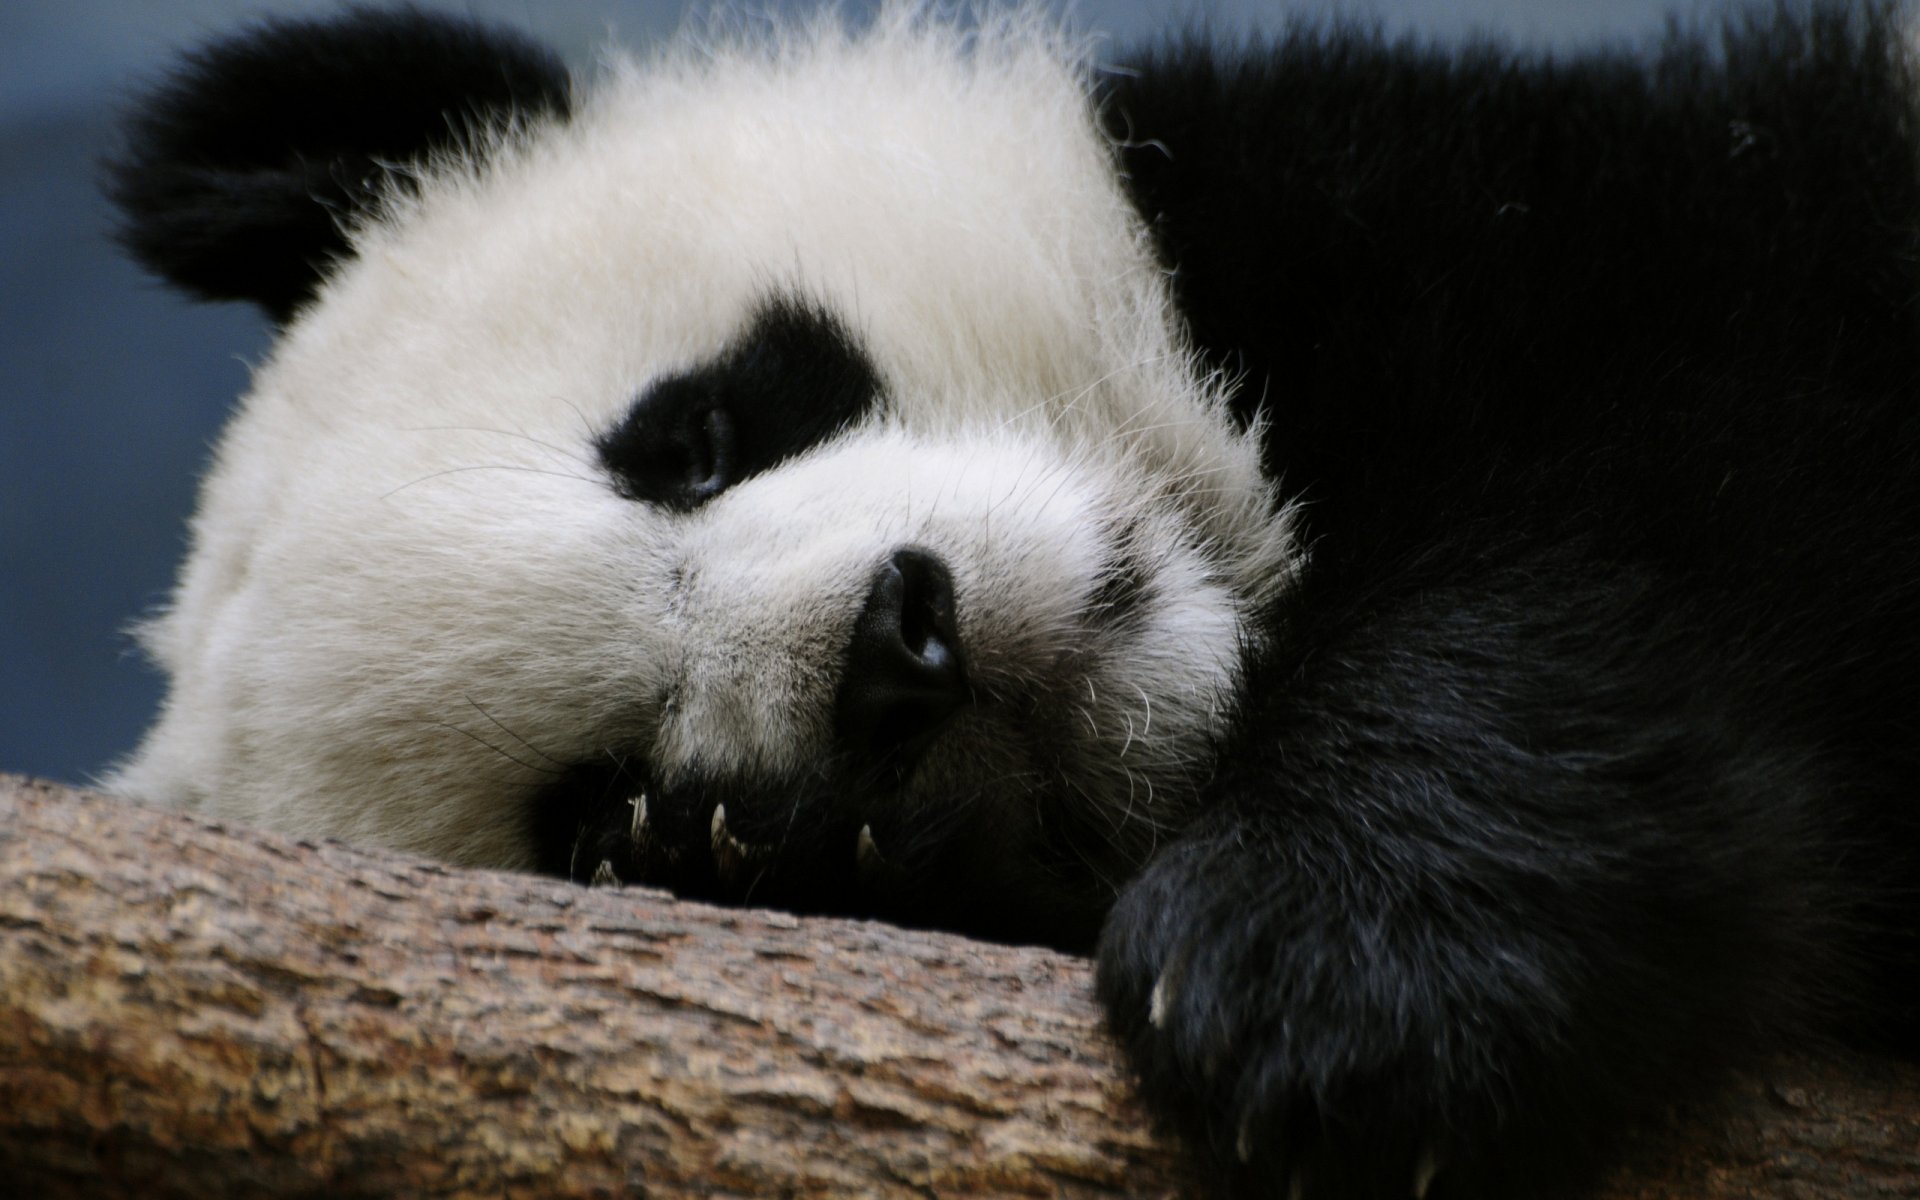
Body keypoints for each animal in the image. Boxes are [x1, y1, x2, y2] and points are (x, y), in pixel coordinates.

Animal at [104, 2, 1920, 1198]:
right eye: (610, 807)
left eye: (695, 435)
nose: (901, 650)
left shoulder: (1511, 210)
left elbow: (1657, 471)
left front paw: (1331, 966)